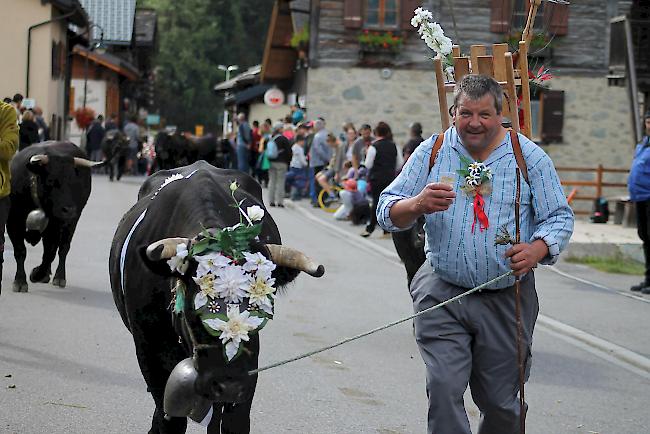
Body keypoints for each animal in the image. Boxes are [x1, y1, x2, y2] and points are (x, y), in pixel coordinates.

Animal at [7, 141, 102, 294]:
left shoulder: (56, 224)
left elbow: (50, 253)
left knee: (63, 248)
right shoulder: (13, 221)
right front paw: (20, 281)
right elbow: (20, 250)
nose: (69, 210)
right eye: (51, 180)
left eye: (74, 182)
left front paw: (36, 274)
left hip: (72, 222)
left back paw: (58, 277)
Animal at [110, 161, 324, 432]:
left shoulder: (249, 367)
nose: (229, 384)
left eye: (260, 307)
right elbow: (169, 419)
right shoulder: (149, 348)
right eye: (195, 308)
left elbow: (236, 421)